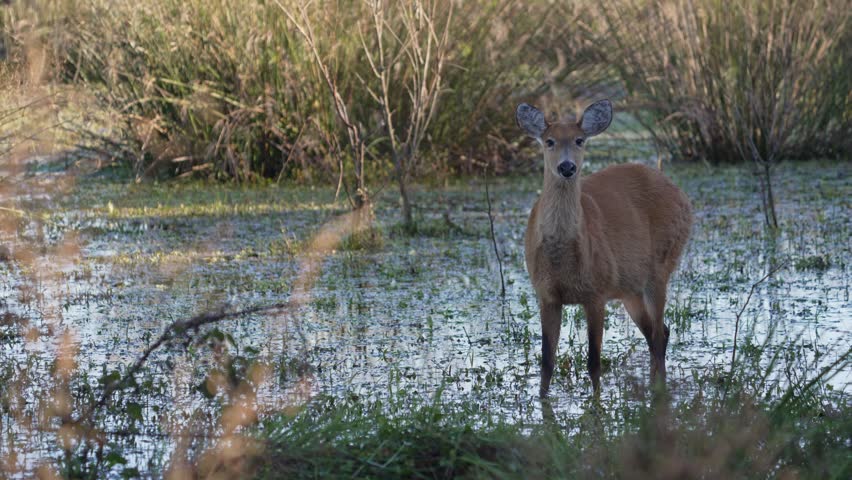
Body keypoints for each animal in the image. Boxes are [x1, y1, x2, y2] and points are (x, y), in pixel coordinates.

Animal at [516, 100, 693, 398]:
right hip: (630, 288)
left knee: (658, 334)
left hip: (661, 266)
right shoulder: (546, 295)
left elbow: (594, 362)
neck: (562, 258)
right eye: (549, 141)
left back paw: (658, 392)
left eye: (579, 140)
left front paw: (597, 405)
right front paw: (541, 402)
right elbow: (546, 362)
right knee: (659, 332)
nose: (567, 167)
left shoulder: (596, 292)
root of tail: (681, 195)